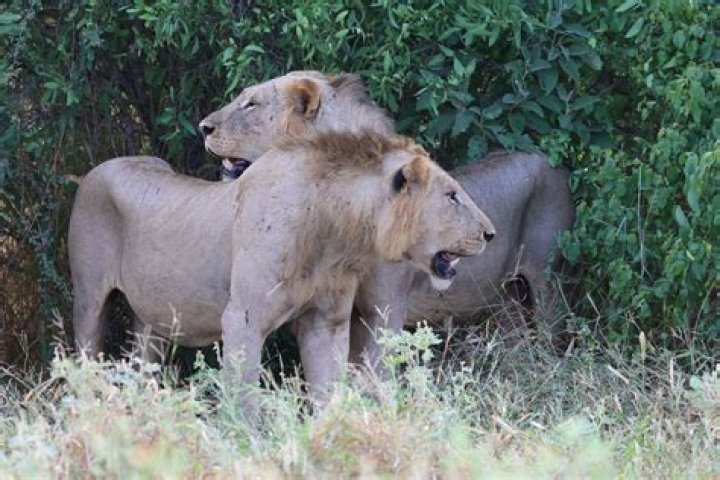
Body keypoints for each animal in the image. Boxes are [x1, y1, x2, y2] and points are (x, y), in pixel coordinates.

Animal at [68, 131, 495, 403]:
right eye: (452, 195)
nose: (490, 233)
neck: (335, 235)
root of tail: (98, 169)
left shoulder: (326, 322)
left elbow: (329, 394)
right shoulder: (242, 319)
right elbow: (244, 401)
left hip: (150, 322)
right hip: (89, 299)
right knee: (85, 356)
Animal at [199, 71, 574, 365]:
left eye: (251, 104)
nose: (203, 126)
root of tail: (553, 161)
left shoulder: (386, 307)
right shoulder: (348, 310)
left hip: (545, 278)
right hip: (505, 295)